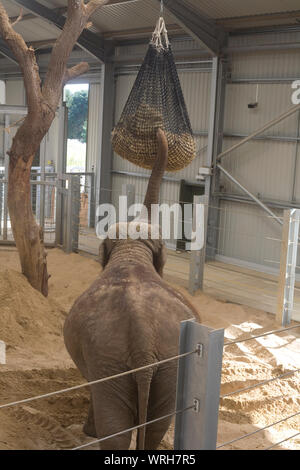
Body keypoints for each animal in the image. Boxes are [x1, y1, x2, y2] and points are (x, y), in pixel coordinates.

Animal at [64, 129, 200, 452]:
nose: (158, 130)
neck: (131, 251)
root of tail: (143, 343)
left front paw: (88, 431)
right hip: (163, 365)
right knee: (155, 425)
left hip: (112, 362)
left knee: (116, 430)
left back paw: (97, 435)